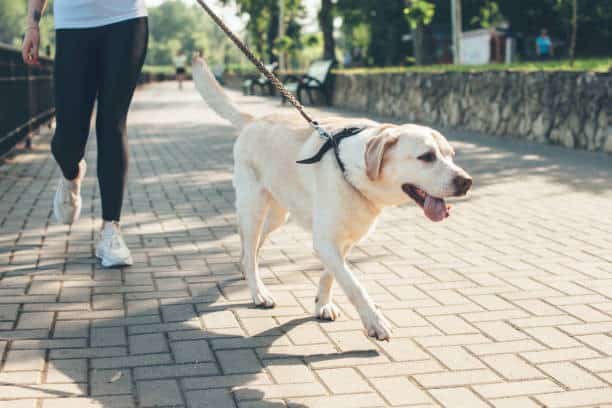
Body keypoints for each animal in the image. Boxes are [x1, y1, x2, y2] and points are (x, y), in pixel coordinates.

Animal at [194, 55, 470, 340]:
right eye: (426, 156)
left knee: (252, 248)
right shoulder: (325, 241)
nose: (466, 182)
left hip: (277, 215)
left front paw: (322, 304)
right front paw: (374, 321)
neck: (353, 171)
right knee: (249, 250)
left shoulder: (344, 240)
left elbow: (331, 275)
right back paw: (258, 291)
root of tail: (252, 121)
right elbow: (354, 284)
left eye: (451, 155)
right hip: (253, 209)